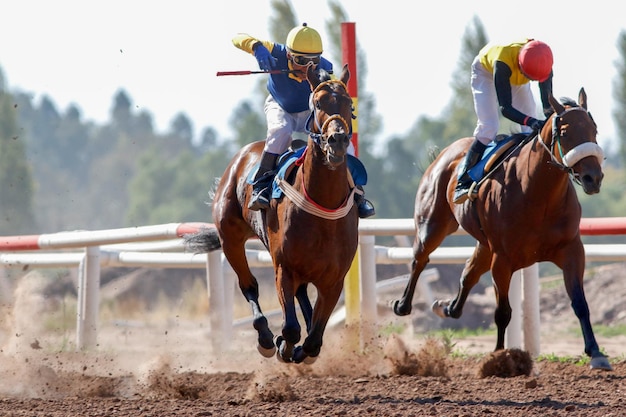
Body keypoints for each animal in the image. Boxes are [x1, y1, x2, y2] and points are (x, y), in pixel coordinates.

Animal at [184, 63, 356, 362]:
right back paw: (265, 337)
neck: (322, 207)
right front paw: (283, 346)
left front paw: (302, 351)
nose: (337, 140)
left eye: (348, 103)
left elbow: (314, 339)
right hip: (230, 238)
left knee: (302, 298)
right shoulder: (283, 268)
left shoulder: (334, 279)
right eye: (318, 103)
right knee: (249, 285)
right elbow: (290, 328)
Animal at [392, 89, 612, 368]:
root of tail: (446, 152)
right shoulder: (503, 259)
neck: (539, 195)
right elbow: (503, 312)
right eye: (565, 132)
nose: (593, 178)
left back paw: (447, 306)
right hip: (432, 225)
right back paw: (403, 304)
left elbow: (580, 303)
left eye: (594, 130)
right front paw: (499, 356)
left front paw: (596, 352)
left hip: (484, 244)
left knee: (468, 273)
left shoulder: (571, 249)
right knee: (420, 259)